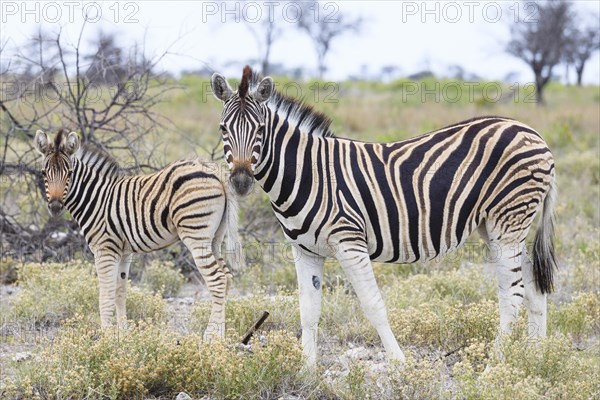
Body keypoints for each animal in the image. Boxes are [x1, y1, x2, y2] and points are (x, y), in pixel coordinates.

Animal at [33, 130, 241, 338]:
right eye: (43, 173)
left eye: (69, 173)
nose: (55, 207)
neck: (97, 199)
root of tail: (215, 171)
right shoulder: (124, 251)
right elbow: (120, 291)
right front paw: (123, 334)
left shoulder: (104, 249)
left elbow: (105, 295)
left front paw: (106, 337)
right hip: (214, 239)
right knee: (227, 278)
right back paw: (222, 335)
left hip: (196, 235)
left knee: (217, 281)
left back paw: (211, 337)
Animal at [210, 67, 556, 368]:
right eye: (223, 129)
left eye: (260, 130)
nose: (240, 182)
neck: (308, 173)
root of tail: (534, 133)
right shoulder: (305, 250)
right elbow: (308, 310)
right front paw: (306, 372)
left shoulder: (349, 241)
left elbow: (373, 305)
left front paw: (400, 364)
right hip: (499, 225)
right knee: (533, 285)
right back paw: (537, 359)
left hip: (508, 218)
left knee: (512, 292)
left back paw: (494, 366)